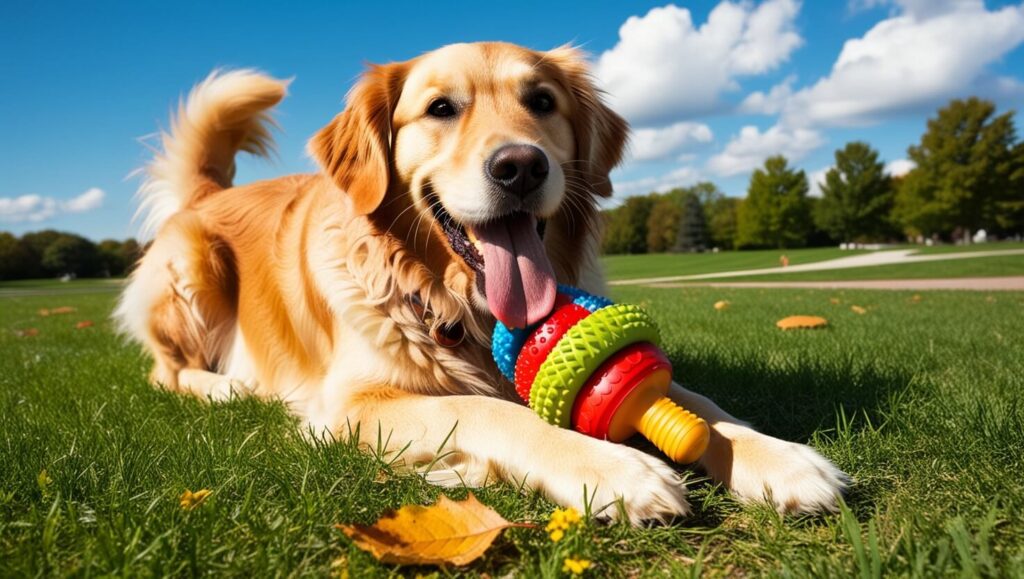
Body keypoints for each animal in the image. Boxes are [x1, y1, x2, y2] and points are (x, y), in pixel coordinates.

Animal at [114, 40, 847, 518]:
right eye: (441, 108)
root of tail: (206, 195)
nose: (520, 166)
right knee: (164, 370)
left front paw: (777, 457)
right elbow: (488, 409)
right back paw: (227, 386)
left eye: (542, 101)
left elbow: (699, 401)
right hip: (194, 268)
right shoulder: (352, 404)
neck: (456, 299)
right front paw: (615, 468)